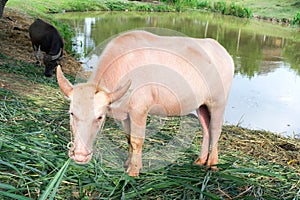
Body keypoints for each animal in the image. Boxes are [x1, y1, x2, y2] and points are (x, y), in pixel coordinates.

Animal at [56, 30, 234, 177]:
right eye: (71, 113)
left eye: (99, 117)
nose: (80, 155)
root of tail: (224, 53)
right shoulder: (125, 114)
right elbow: (129, 138)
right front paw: (128, 163)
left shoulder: (139, 110)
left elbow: (137, 140)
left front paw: (133, 171)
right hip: (201, 105)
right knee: (206, 128)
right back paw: (200, 160)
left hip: (218, 102)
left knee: (215, 129)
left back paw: (212, 164)